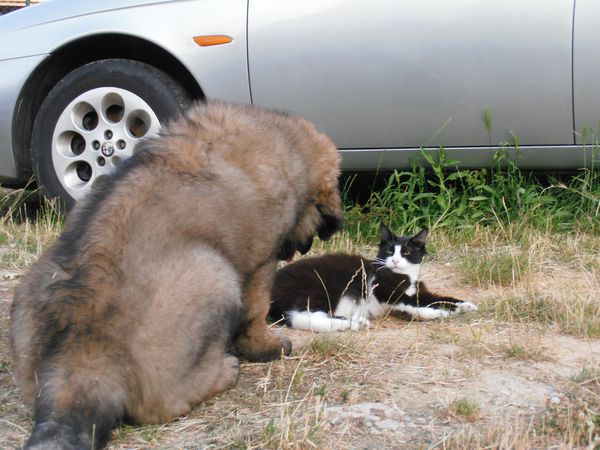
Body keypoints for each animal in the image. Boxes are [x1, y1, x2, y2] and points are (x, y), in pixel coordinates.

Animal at [10, 102, 342, 450]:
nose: (304, 247)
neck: (287, 141)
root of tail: (80, 359)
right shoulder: (260, 262)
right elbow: (256, 310)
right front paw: (266, 346)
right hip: (217, 277)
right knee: (163, 404)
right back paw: (225, 372)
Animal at [270, 224, 476, 332]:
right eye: (390, 251)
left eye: (406, 252)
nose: (395, 260)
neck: (403, 274)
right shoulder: (386, 290)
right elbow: (410, 303)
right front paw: (438, 313)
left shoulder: (417, 291)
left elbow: (440, 298)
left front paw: (465, 305)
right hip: (316, 288)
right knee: (301, 317)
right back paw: (352, 323)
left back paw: (355, 320)